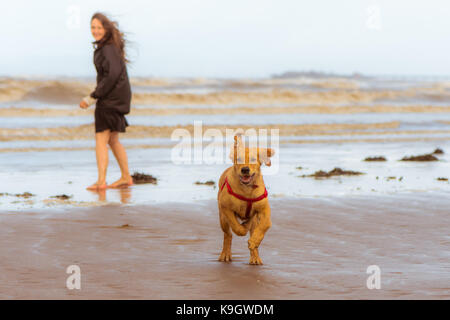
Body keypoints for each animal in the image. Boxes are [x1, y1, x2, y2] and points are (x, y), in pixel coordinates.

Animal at [218, 135, 274, 264]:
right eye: (238, 159)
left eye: (253, 159)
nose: (245, 169)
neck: (247, 189)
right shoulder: (226, 208)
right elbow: (236, 227)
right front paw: (242, 229)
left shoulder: (264, 209)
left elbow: (266, 224)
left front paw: (254, 242)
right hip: (222, 219)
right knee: (228, 235)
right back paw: (225, 254)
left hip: (255, 221)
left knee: (252, 226)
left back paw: (255, 257)